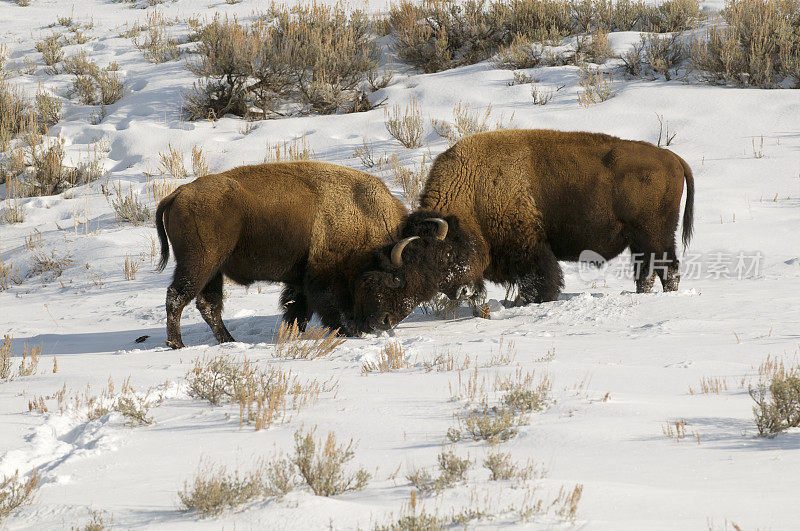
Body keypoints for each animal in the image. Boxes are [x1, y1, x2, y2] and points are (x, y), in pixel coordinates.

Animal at [153, 160, 422, 350]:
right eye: (394, 279)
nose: (386, 321)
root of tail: (179, 193)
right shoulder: (324, 280)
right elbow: (328, 309)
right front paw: (349, 331)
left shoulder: (301, 282)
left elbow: (297, 311)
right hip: (200, 263)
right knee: (177, 297)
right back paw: (177, 344)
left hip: (213, 270)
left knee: (208, 305)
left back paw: (228, 341)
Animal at [354, 127, 696, 322]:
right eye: (423, 266)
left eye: (449, 253)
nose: (462, 291)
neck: (474, 194)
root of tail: (672, 158)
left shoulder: (531, 250)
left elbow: (541, 281)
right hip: (641, 241)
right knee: (648, 272)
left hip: (654, 235)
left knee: (667, 269)